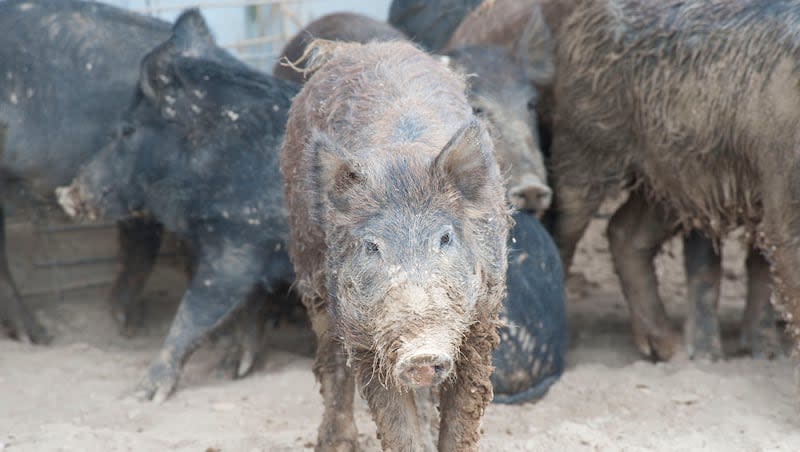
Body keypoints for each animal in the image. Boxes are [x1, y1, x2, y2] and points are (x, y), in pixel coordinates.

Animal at [278, 40, 510, 450]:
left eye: (444, 238)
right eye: (372, 246)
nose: (421, 352)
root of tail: (352, 49)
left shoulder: (483, 319)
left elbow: (462, 416)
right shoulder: (364, 338)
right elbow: (396, 425)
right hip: (309, 267)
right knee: (330, 359)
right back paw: (336, 443)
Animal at [552, 0, 800, 360]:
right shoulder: (781, 188)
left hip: (674, 180)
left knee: (623, 231)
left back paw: (665, 349)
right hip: (581, 145)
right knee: (560, 228)